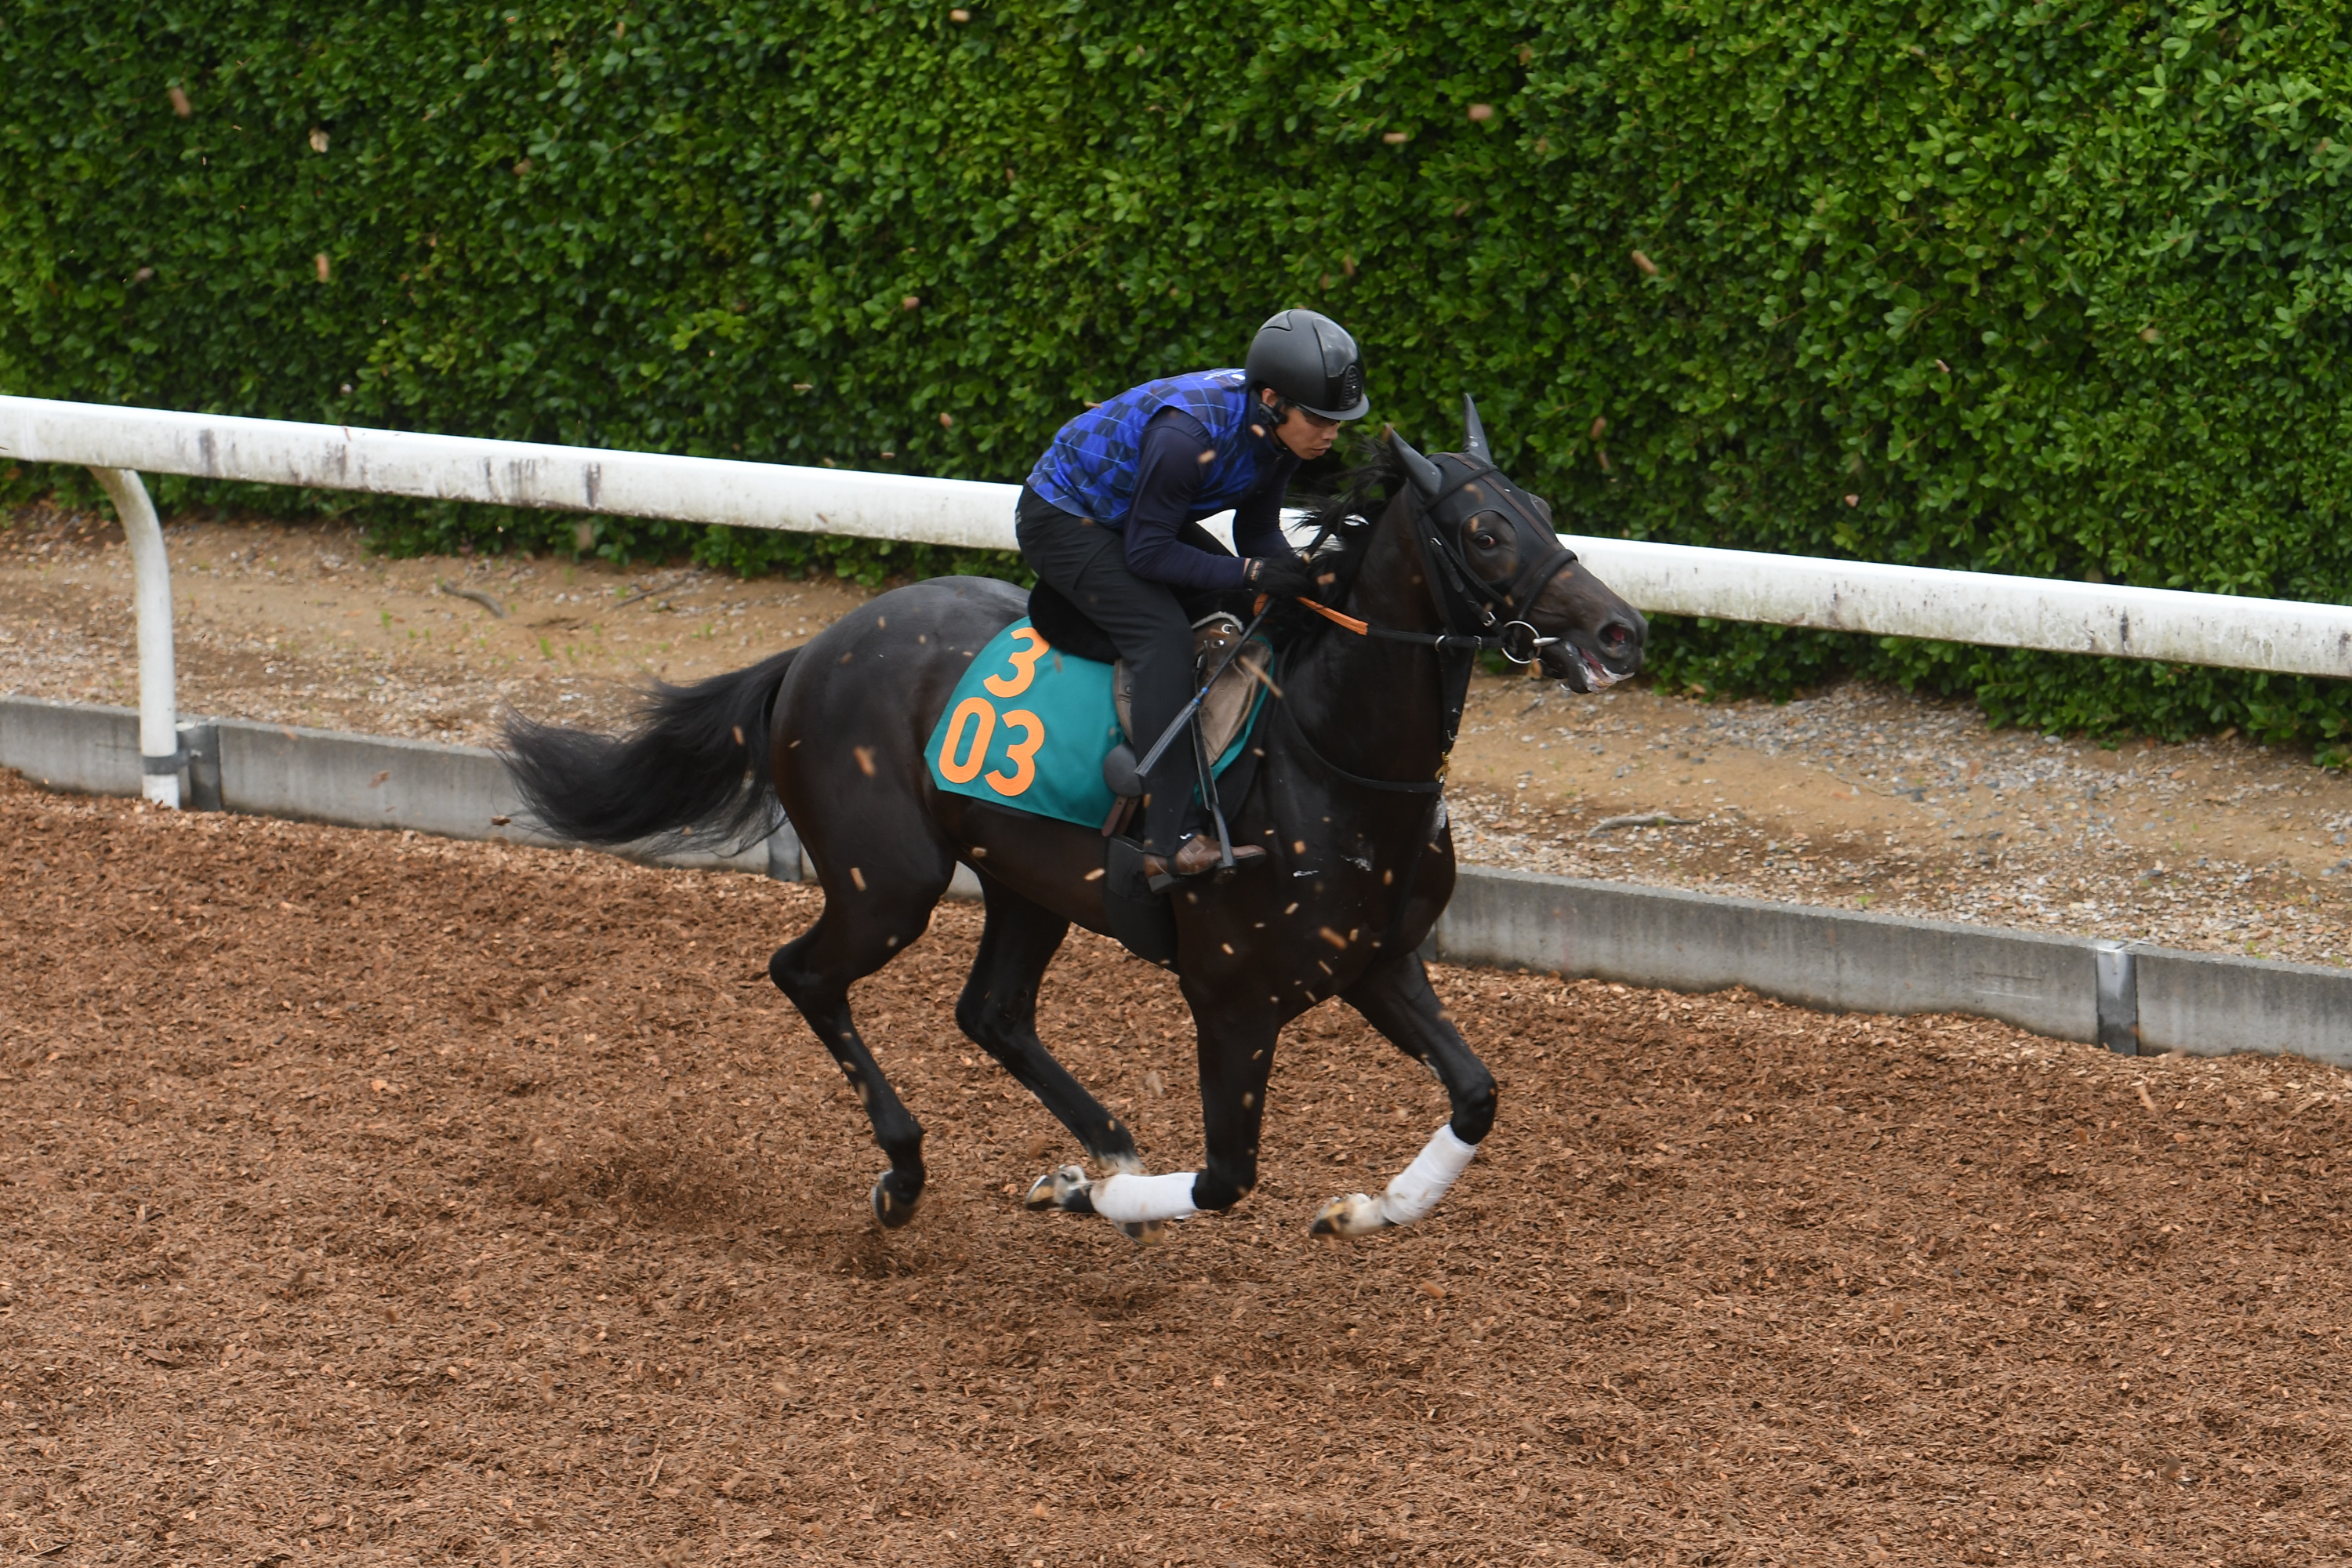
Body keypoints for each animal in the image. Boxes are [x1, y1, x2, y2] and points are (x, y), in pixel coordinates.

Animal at [501, 401, 1646, 1241]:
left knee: (992, 1012)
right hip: (890, 882)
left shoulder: (1377, 961)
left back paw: (1107, 1147)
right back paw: (913, 1173)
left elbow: (1478, 1093)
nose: (1621, 631)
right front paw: (1082, 1193)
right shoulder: (1231, 1000)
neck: (1332, 759)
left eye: (1546, 505)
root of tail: (814, 651)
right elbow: (1226, 1178)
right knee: (806, 974)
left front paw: (1365, 1208)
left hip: (1025, 880)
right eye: (1486, 531)